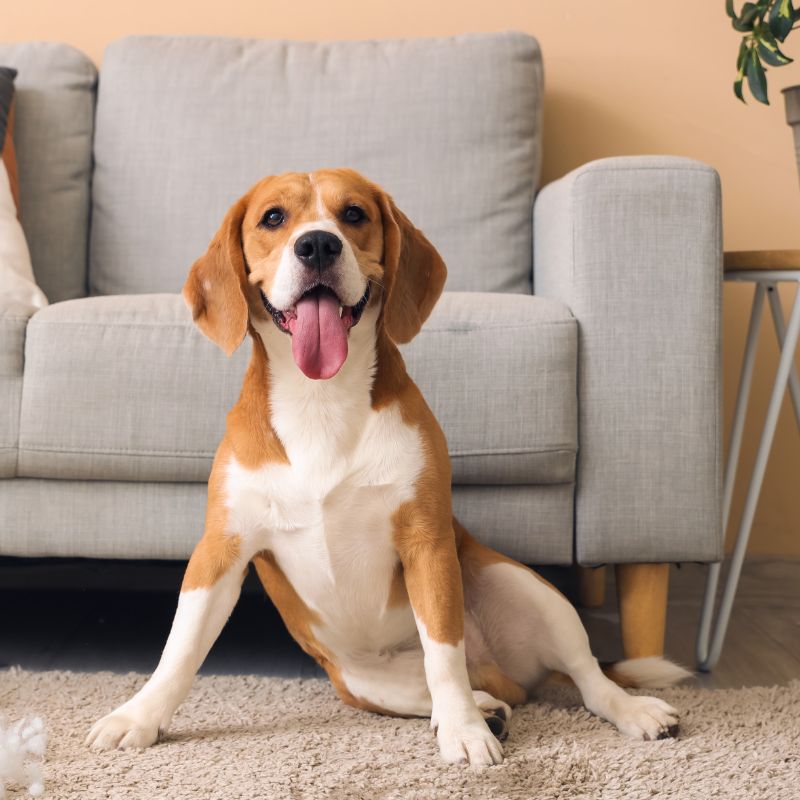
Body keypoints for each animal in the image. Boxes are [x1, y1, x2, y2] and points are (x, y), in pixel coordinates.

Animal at [87, 170, 688, 768]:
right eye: (273, 218)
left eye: (353, 214)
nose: (318, 244)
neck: (320, 400)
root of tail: (502, 671)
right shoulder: (221, 548)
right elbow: (180, 649)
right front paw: (137, 717)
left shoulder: (426, 541)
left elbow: (444, 653)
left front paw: (464, 732)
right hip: (358, 681)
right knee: (464, 690)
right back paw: (489, 707)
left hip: (524, 588)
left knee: (581, 677)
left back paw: (623, 710)